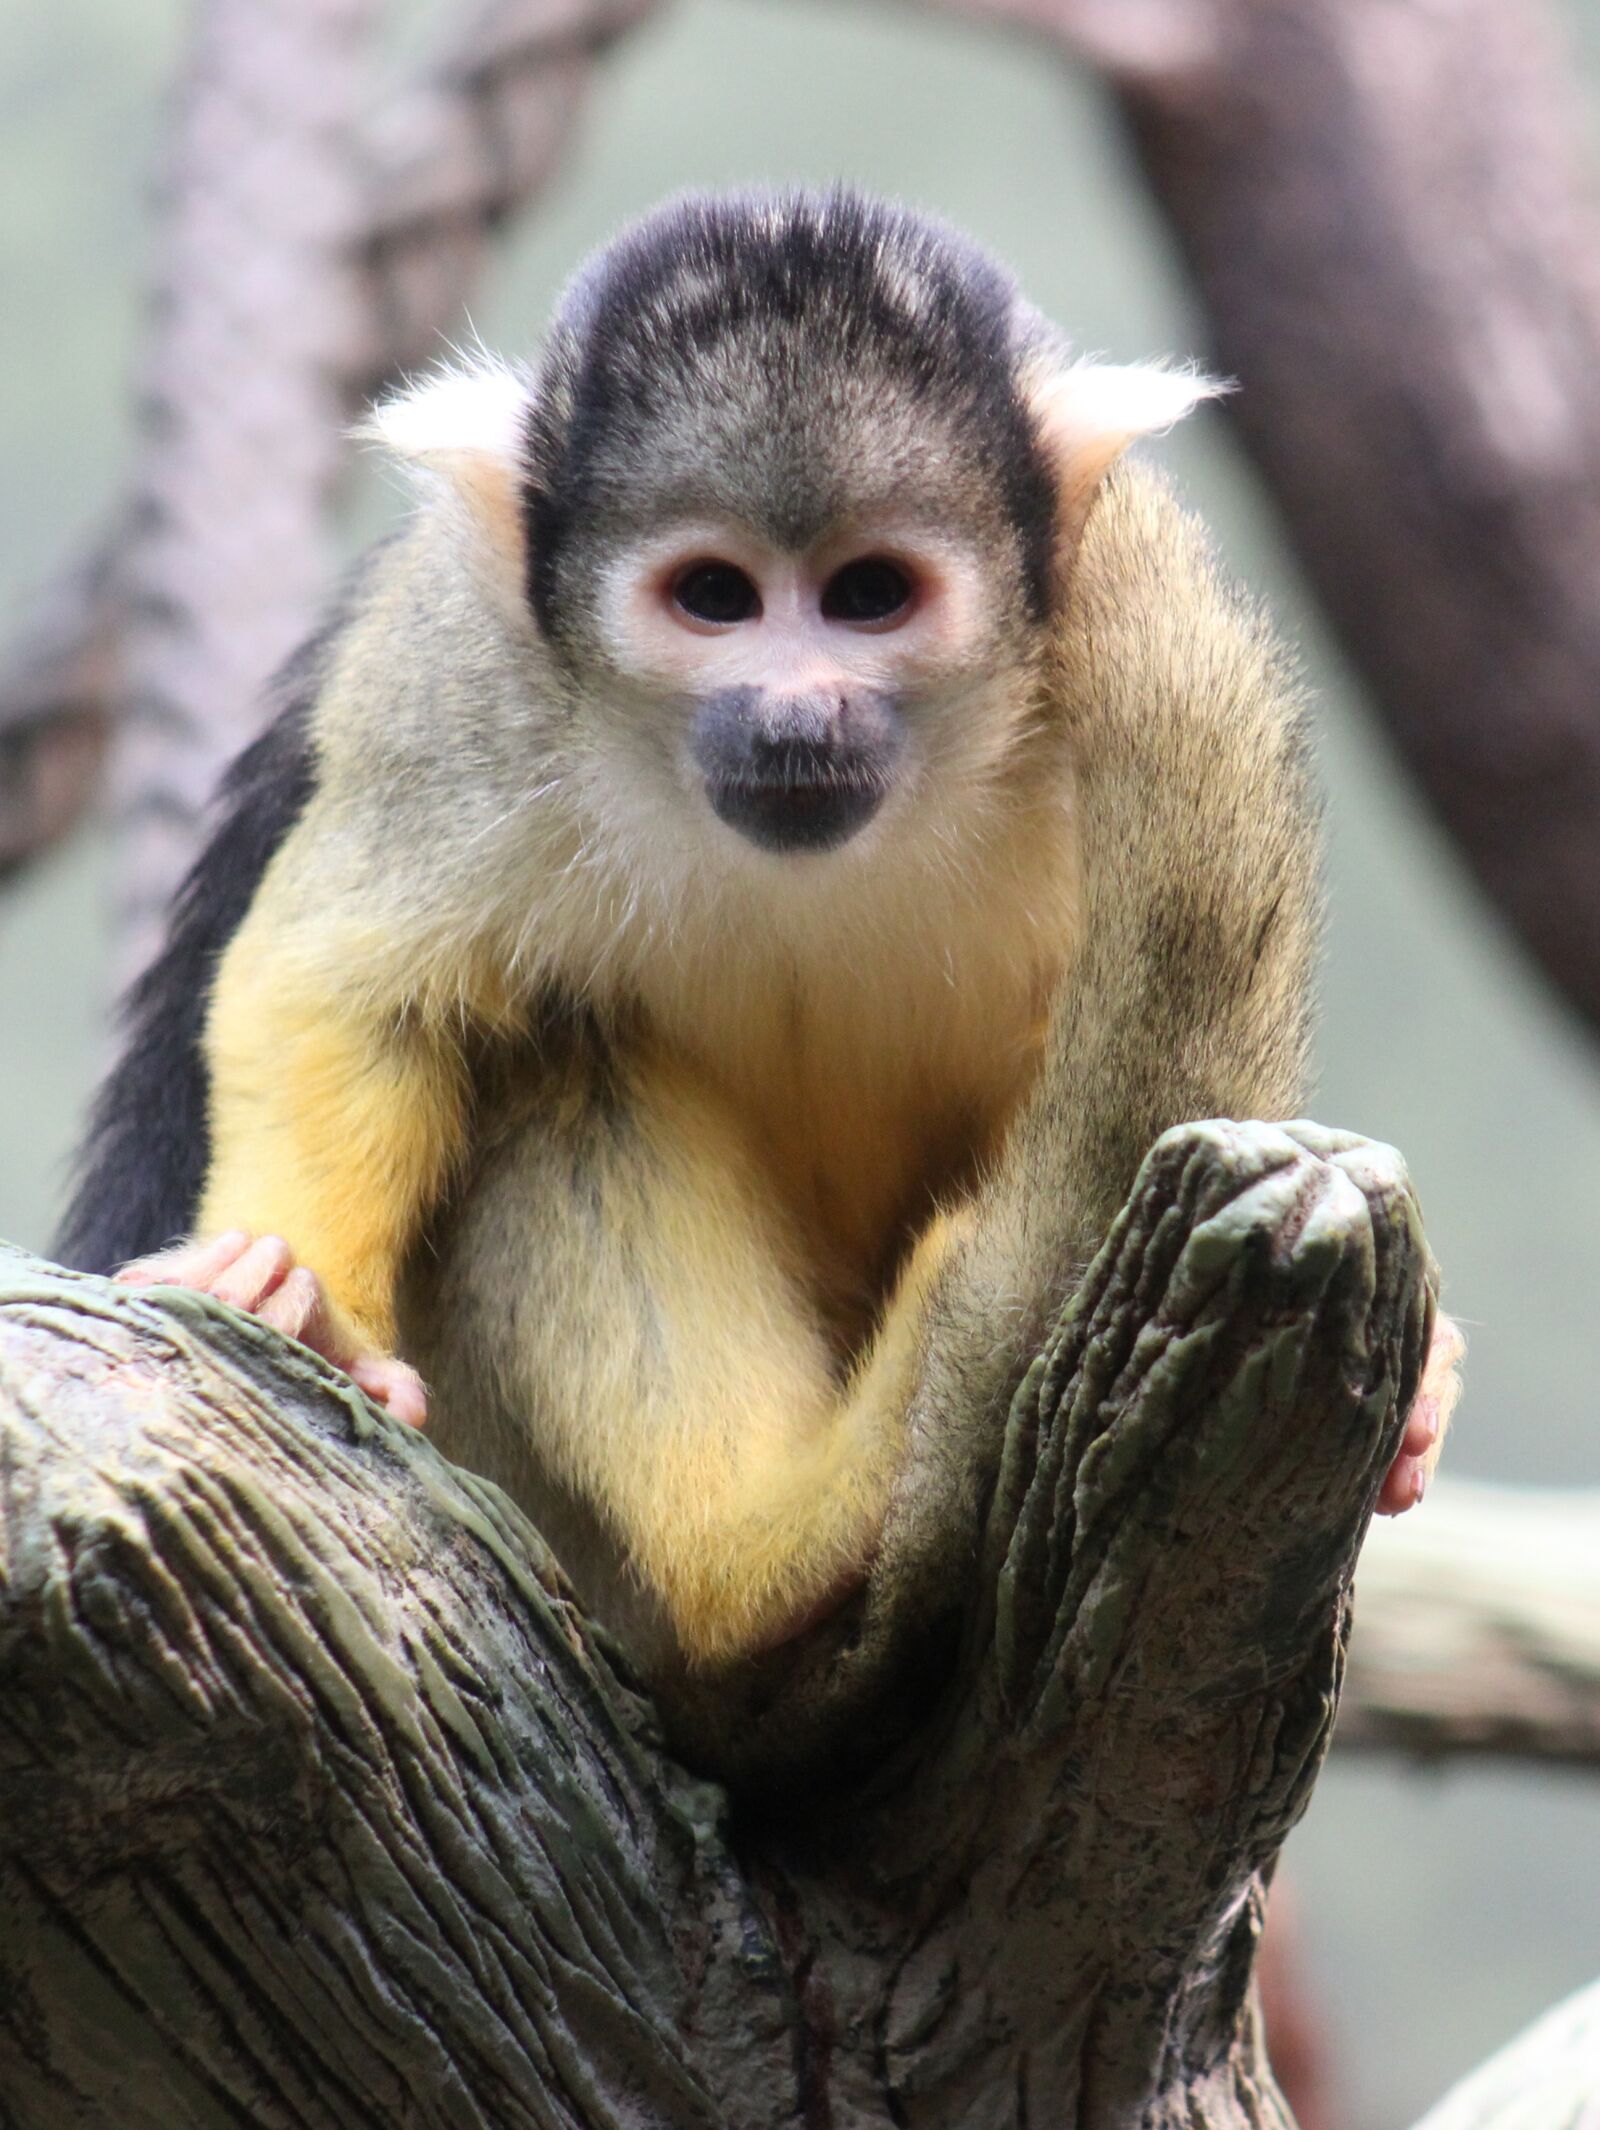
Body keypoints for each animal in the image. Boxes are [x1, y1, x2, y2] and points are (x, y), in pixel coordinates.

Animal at [56, 191, 1457, 1707]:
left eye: (868, 593)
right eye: (716, 596)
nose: (793, 716)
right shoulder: (463, 677)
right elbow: (350, 985)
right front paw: (299, 1299)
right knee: (564, 1064)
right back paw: (761, 1553)